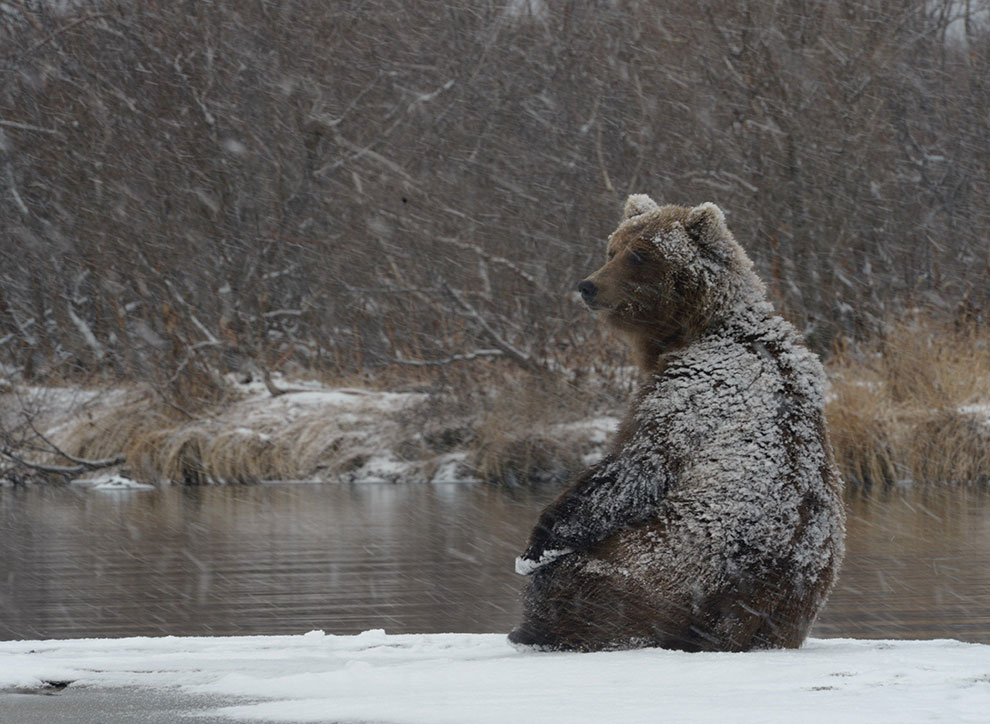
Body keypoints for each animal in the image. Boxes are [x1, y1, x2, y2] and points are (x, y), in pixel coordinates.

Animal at [512, 195, 844, 652]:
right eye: (612, 249)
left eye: (639, 254)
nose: (588, 285)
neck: (698, 328)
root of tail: (744, 615)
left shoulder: (693, 390)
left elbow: (633, 469)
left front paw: (537, 547)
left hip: (667, 568)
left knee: (579, 584)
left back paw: (539, 625)